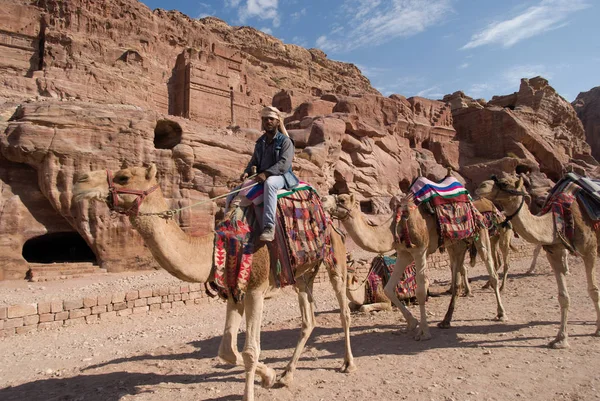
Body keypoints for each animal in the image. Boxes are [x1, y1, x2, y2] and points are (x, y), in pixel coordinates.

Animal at [72, 164, 354, 398]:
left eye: (124, 177)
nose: (79, 182)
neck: (223, 243)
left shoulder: (255, 290)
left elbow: (250, 351)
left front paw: (252, 391)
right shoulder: (234, 291)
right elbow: (227, 351)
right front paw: (270, 376)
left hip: (335, 258)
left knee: (343, 310)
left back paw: (348, 364)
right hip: (301, 274)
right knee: (308, 320)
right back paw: (287, 374)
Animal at [322, 190, 504, 338]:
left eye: (342, 199)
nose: (323, 199)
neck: (394, 228)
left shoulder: (420, 250)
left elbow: (421, 291)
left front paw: (424, 331)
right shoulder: (404, 253)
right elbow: (388, 289)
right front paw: (412, 323)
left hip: (480, 231)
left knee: (491, 270)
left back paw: (501, 313)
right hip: (455, 244)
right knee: (457, 277)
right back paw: (446, 320)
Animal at [478, 175, 600, 346]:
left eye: (506, 183)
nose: (481, 186)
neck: (557, 222)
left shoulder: (590, 251)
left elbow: (594, 290)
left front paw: (598, 329)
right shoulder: (554, 253)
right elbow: (563, 297)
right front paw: (560, 339)